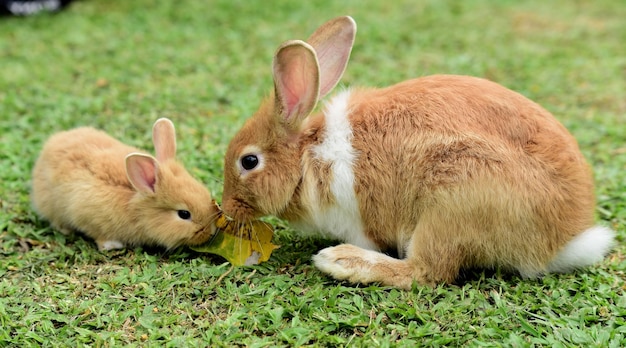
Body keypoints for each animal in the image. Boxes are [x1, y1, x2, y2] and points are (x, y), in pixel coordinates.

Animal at [221, 16, 616, 288]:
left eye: (249, 161)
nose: (225, 209)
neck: (307, 156)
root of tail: (562, 241)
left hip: (452, 203)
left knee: (425, 272)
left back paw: (342, 261)